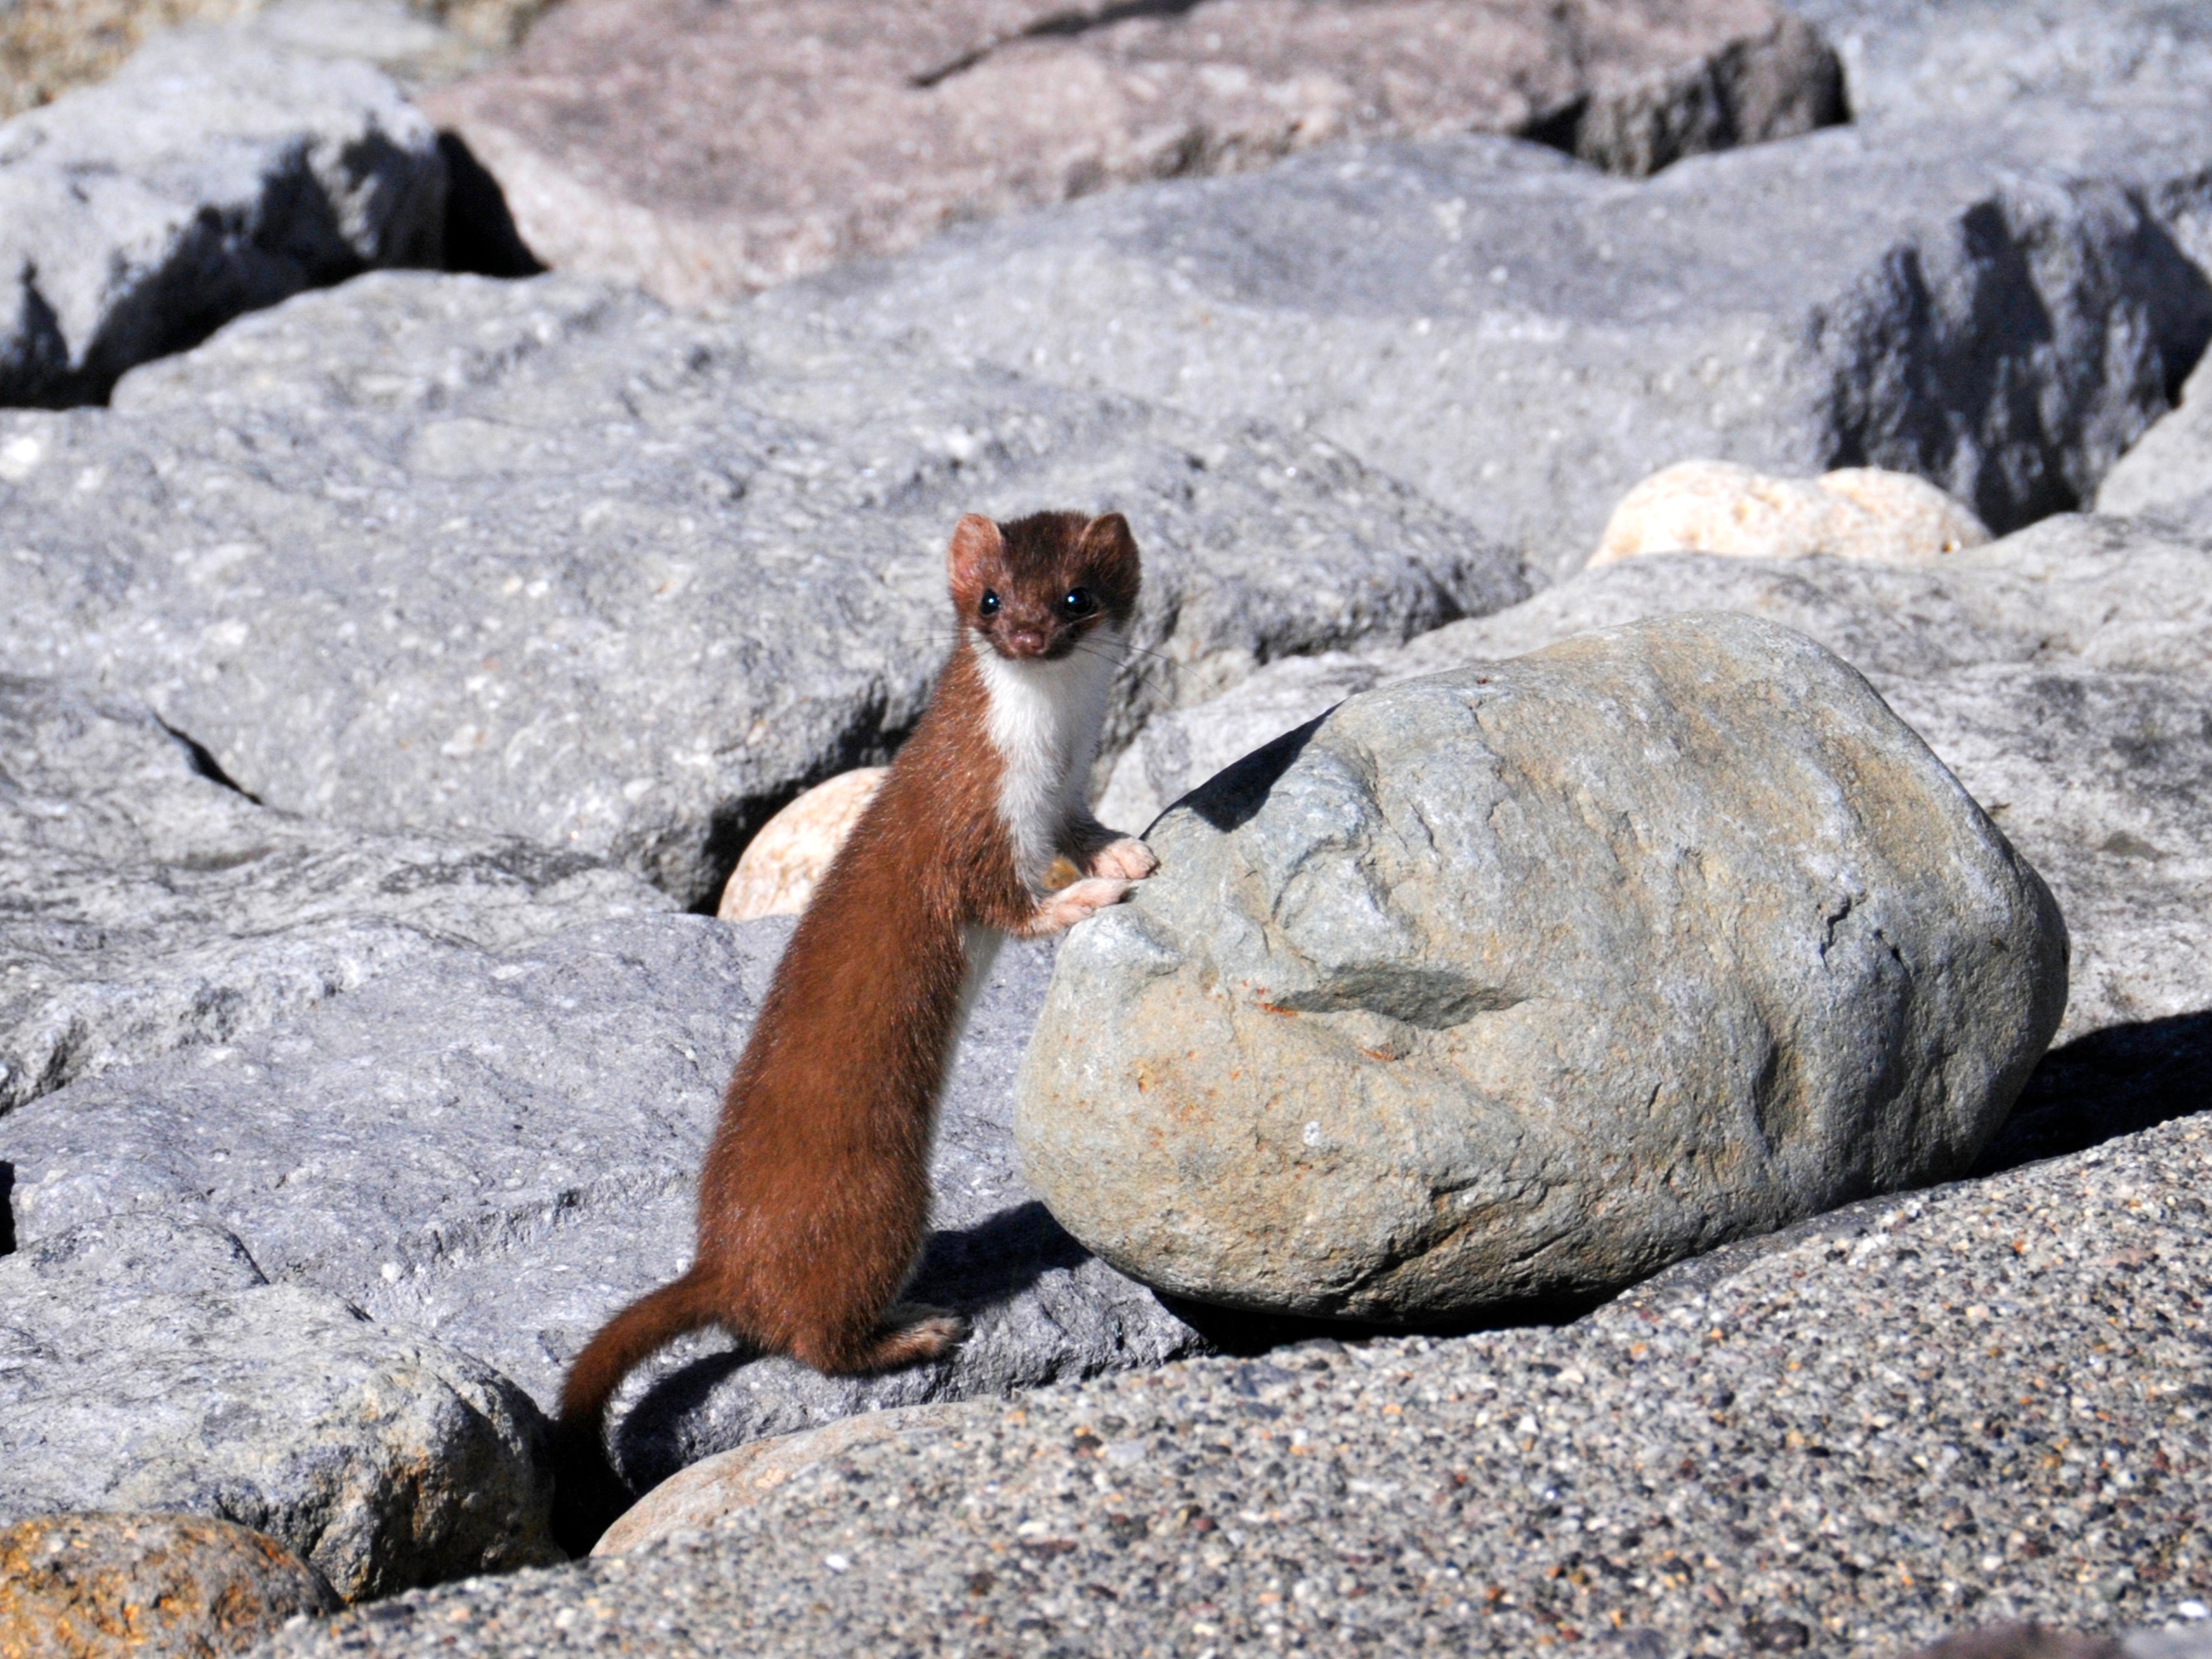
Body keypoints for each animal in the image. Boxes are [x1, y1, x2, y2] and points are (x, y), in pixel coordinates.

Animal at [553, 513, 1158, 1557]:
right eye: (990, 598)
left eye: (1076, 597)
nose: (1027, 635)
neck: (1047, 755)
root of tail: (725, 1259)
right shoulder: (971, 828)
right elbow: (1013, 904)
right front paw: (1088, 895)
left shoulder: (1063, 793)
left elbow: (1084, 826)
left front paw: (1120, 848)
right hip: (881, 1201)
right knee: (811, 1339)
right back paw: (917, 1328)